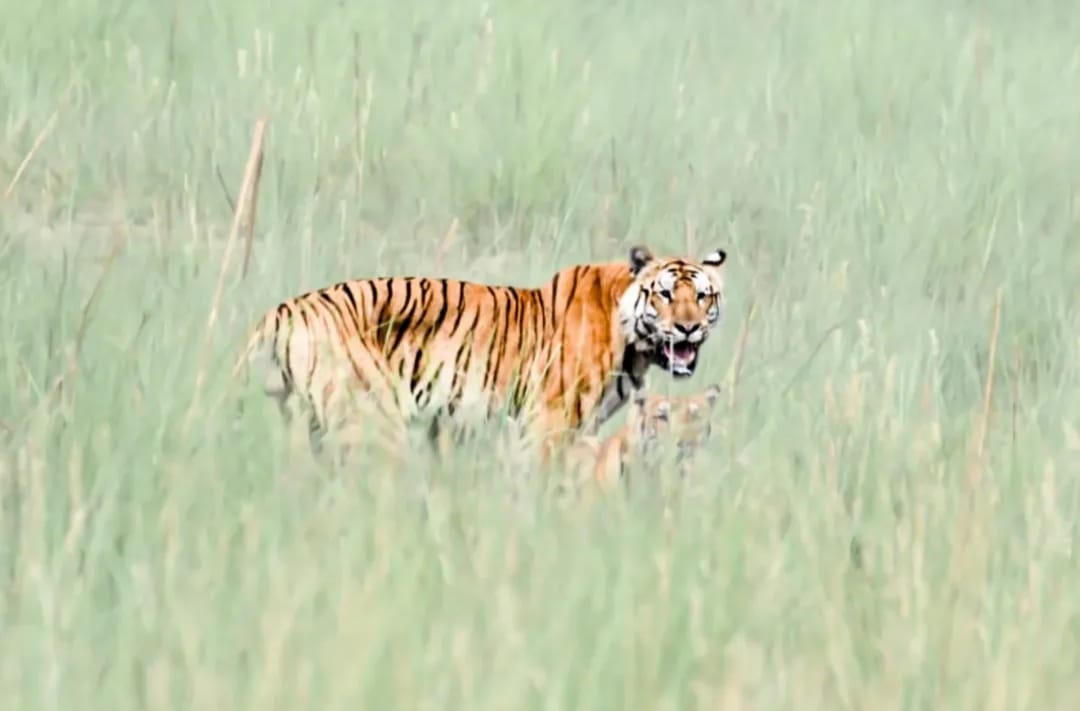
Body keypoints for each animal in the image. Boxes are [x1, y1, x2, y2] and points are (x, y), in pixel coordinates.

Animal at [231, 244, 728, 462]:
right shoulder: (548, 423)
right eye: (665, 294)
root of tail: (282, 309)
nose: (688, 326)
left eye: (703, 296)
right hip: (372, 421)